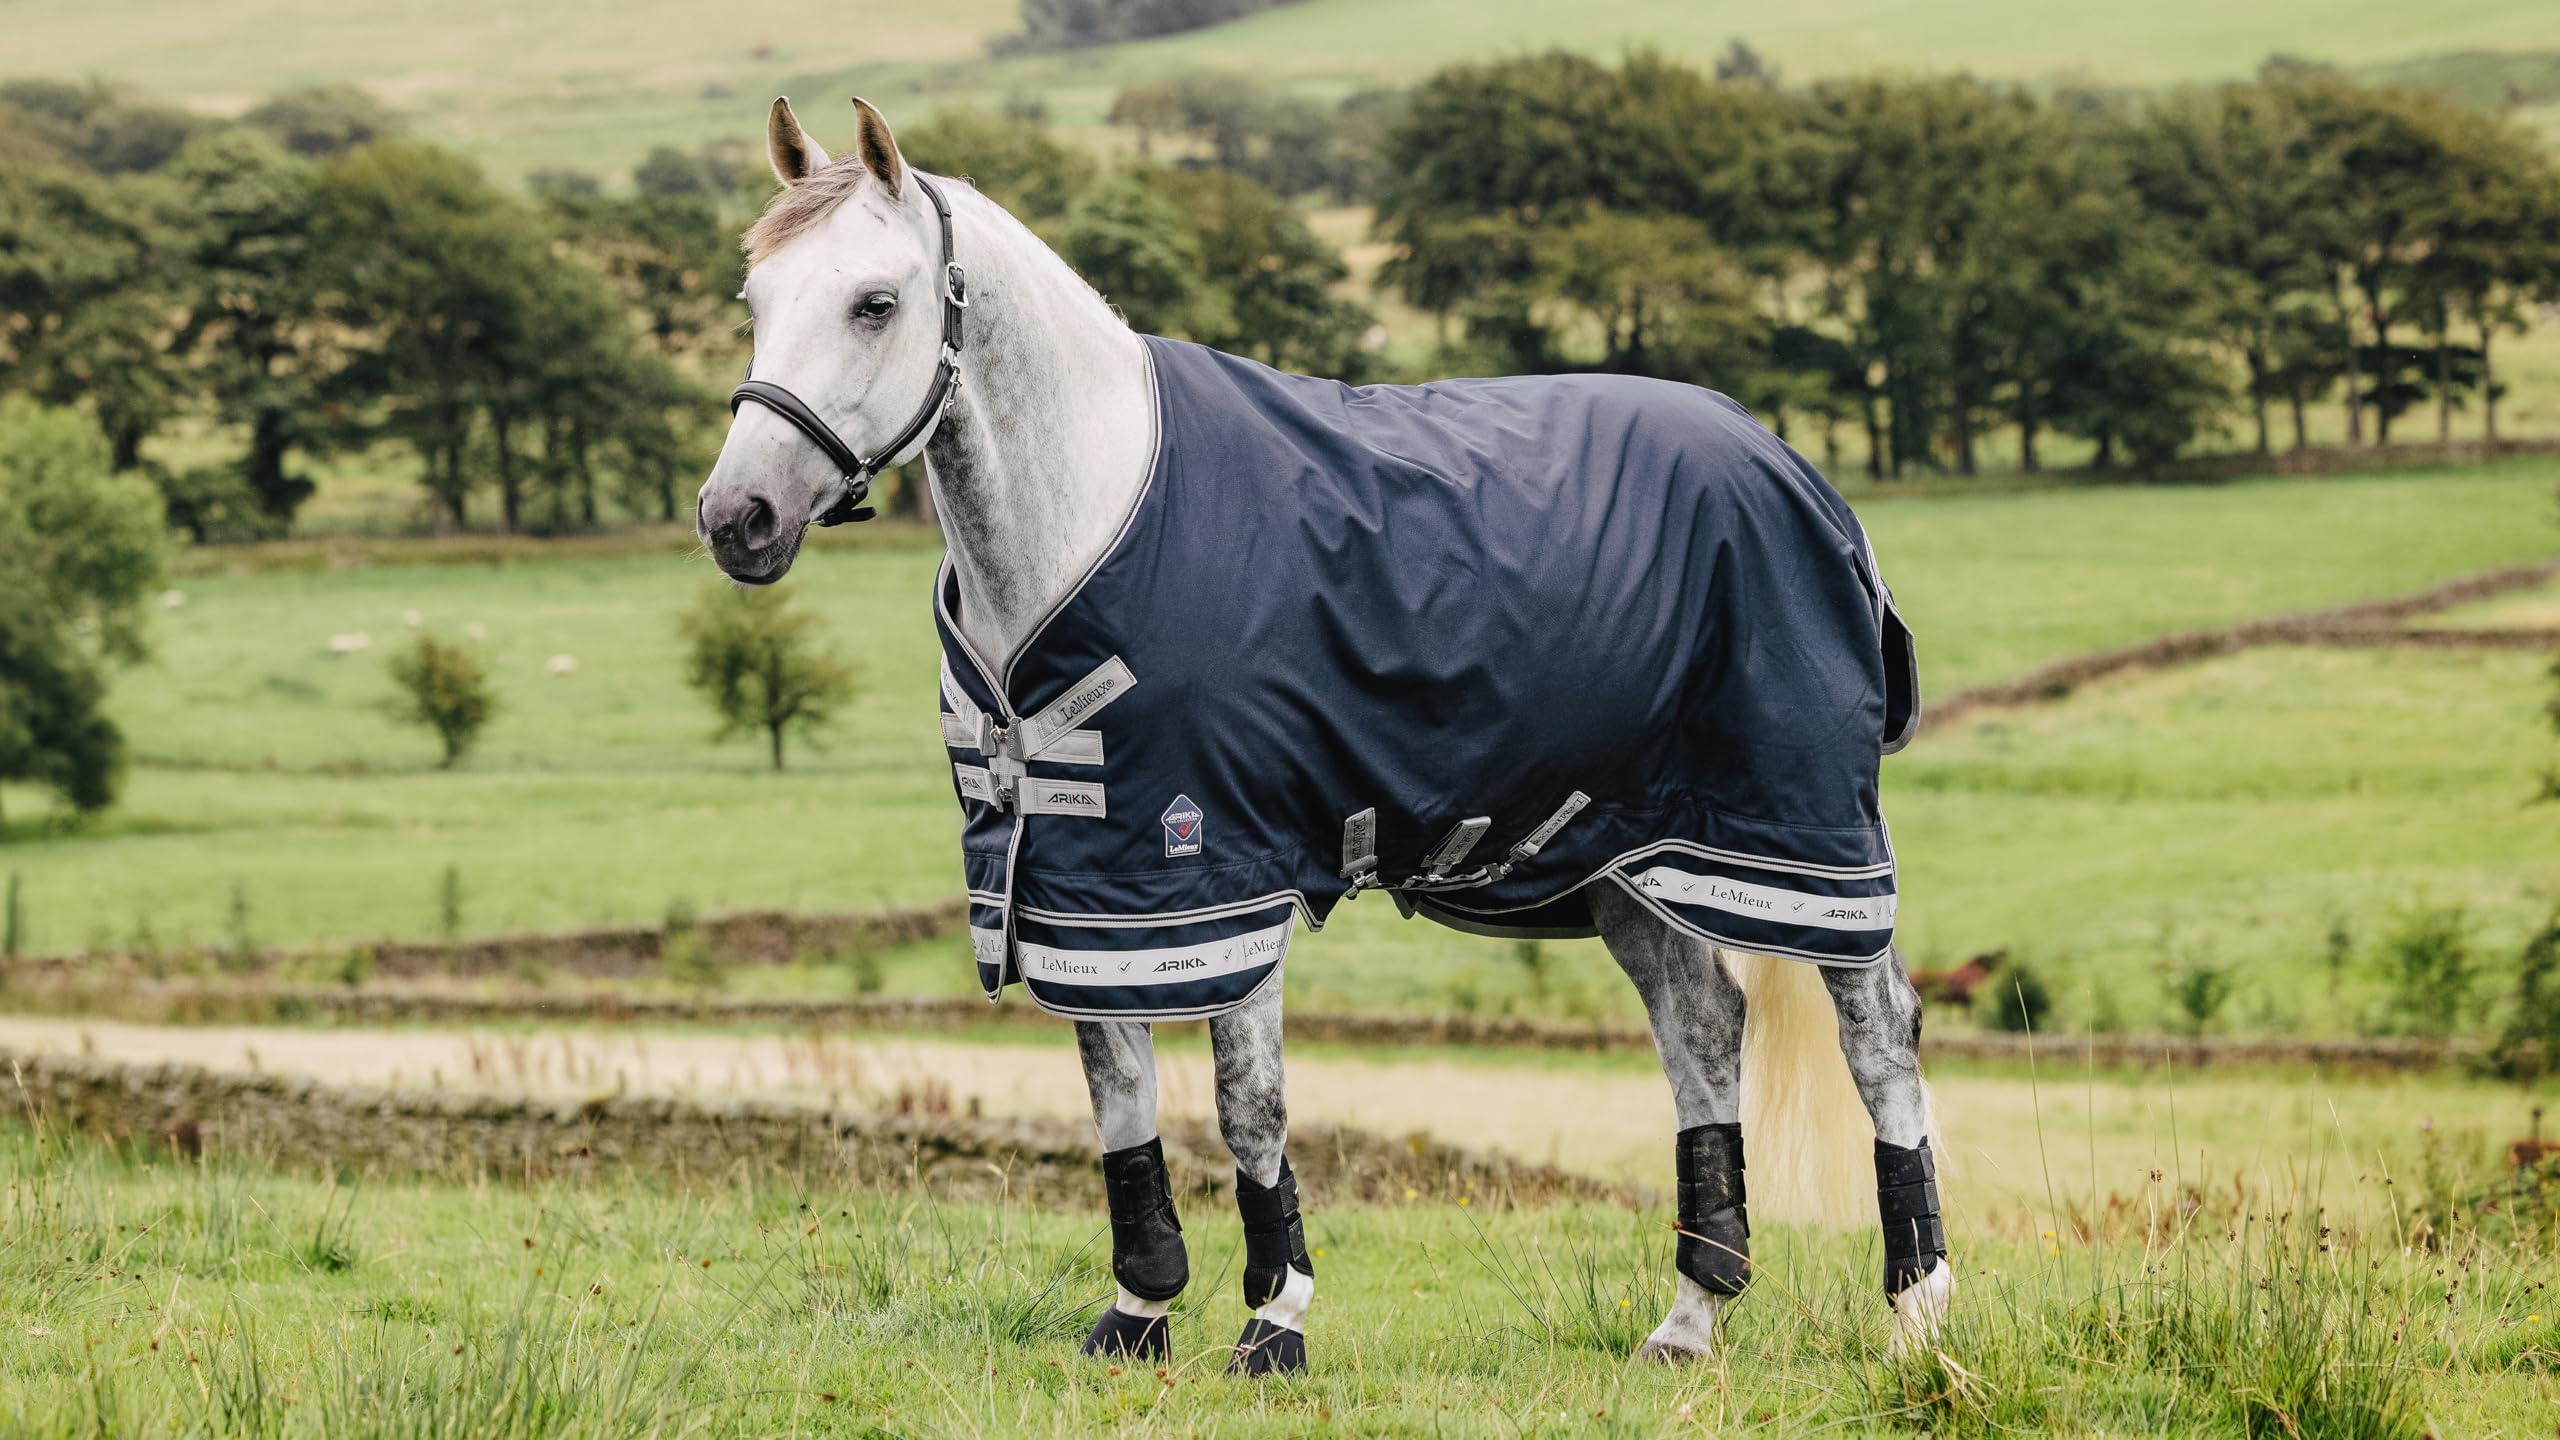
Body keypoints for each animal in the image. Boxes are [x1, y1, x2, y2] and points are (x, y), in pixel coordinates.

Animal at [692, 96, 1953, 1375]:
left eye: (874, 303)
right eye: (756, 299)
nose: (736, 518)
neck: (1090, 518)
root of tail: (1790, 466)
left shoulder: (1217, 868)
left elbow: (1247, 1103)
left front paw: (1272, 1321)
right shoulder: (1084, 882)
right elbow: (1117, 1087)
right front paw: (1137, 1311)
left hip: (1805, 829)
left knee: (1876, 1035)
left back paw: (1918, 1312)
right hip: (1623, 855)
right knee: (1701, 1030)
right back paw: (1692, 1315)